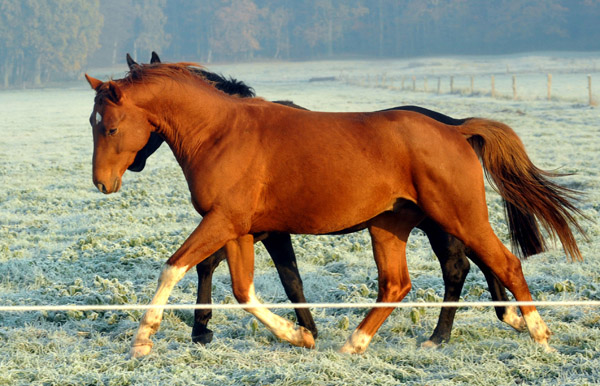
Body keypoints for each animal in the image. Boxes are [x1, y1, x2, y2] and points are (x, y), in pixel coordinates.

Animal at [86, 61, 584, 358]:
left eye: (109, 127)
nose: (102, 183)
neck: (221, 133)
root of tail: (455, 129)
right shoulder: (241, 229)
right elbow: (246, 289)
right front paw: (300, 335)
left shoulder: (224, 222)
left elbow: (175, 267)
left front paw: (144, 338)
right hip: (390, 226)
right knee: (399, 283)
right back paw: (355, 344)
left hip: (458, 218)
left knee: (501, 263)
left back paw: (536, 334)